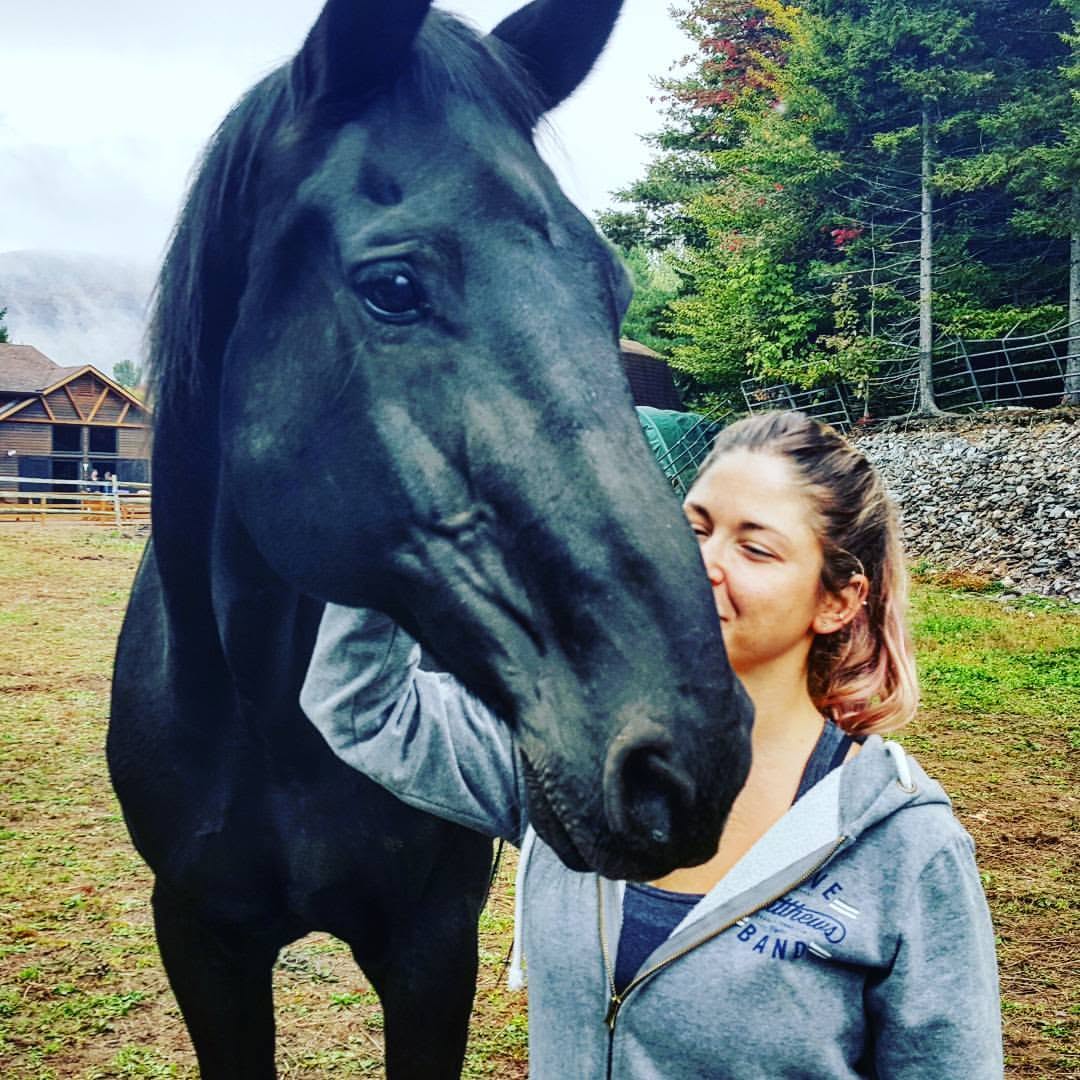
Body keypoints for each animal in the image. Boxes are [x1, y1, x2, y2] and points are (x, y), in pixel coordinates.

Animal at [108, 1, 752, 1075]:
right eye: (395, 285)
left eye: (612, 289)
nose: (687, 760)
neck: (274, 730)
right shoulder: (200, 939)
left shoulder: (431, 944)